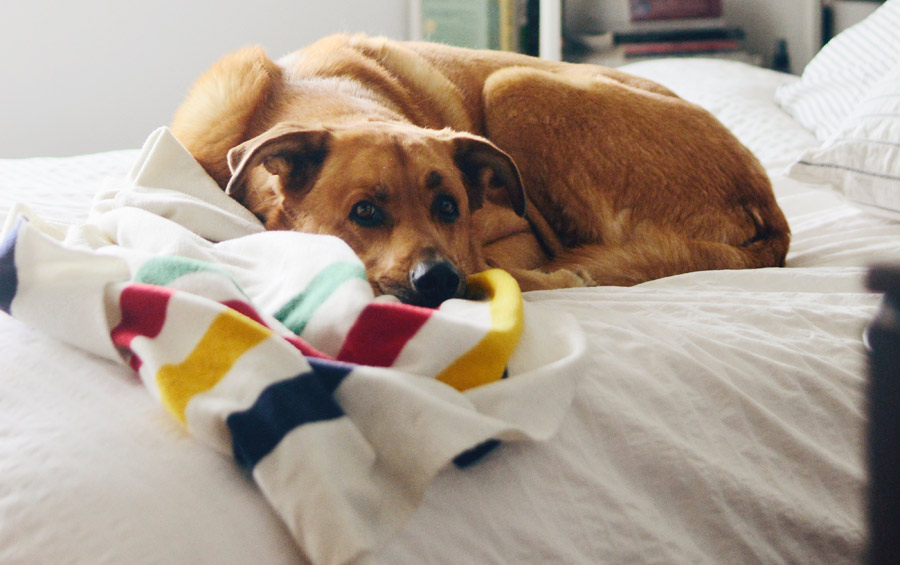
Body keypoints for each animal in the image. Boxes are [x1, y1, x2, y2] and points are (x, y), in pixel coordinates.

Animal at [171, 34, 788, 308]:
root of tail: (770, 213)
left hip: (514, 84)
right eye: (364, 212)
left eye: (451, 208)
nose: (438, 280)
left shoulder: (514, 235)